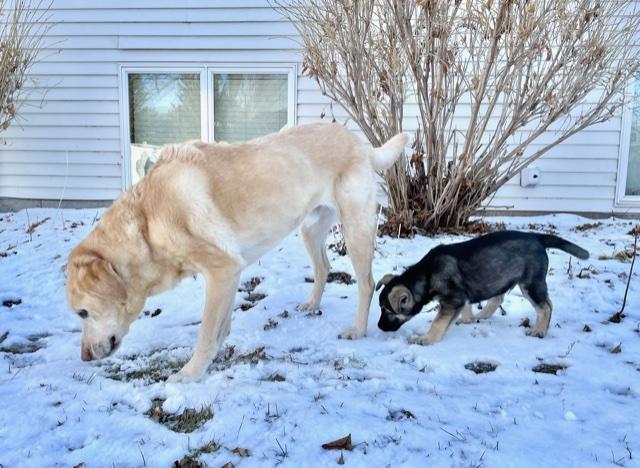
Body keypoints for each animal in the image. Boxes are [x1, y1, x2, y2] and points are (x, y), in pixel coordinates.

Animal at [65, 122, 404, 382]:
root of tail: (358, 141)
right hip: (309, 229)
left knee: (366, 283)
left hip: (355, 228)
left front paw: (189, 375)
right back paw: (312, 304)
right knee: (323, 266)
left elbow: (205, 333)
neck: (148, 222)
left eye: (83, 312)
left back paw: (357, 329)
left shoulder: (222, 269)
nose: (83, 357)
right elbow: (220, 325)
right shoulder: (228, 274)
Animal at [376, 230, 592, 344]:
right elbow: (466, 307)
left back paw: (539, 331)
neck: (426, 274)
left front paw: (427, 339)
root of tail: (536, 237)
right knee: (499, 297)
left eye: (388, 310)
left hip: (530, 283)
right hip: (503, 276)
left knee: (546, 306)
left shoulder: (453, 299)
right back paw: (483, 315)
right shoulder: (461, 297)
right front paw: (467, 319)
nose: (379, 327)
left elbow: (438, 322)